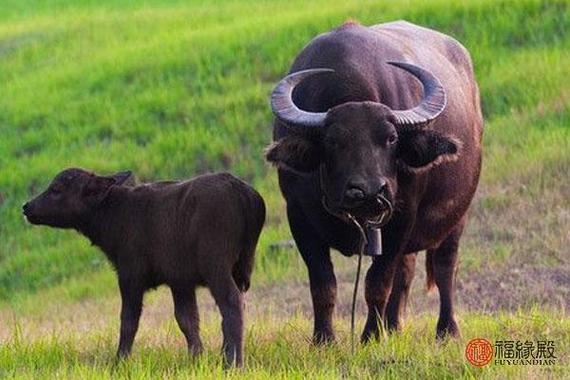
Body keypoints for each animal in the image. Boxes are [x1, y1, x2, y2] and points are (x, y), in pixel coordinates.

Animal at [264, 19, 482, 342]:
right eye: (332, 141)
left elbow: (377, 282)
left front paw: (371, 336)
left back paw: (446, 330)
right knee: (406, 271)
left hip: (458, 215)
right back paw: (394, 324)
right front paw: (323, 339)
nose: (368, 192)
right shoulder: (299, 218)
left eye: (391, 138)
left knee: (445, 267)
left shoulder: (401, 216)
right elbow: (323, 285)